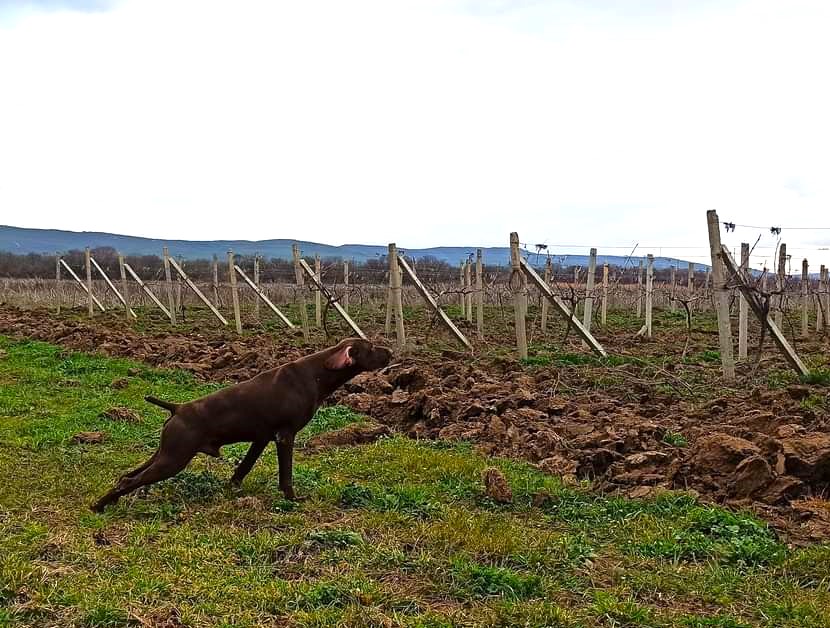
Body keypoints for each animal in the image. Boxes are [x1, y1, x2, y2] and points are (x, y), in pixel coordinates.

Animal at [92, 338, 392, 512]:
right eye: (372, 348)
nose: (390, 351)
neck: (316, 373)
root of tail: (177, 408)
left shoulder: (262, 437)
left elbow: (244, 467)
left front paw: (233, 487)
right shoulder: (285, 436)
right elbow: (286, 475)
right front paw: (291, 499)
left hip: (164, 453)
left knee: (127, 475)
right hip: (173, 459)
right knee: (129, 480)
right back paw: (99, 507)